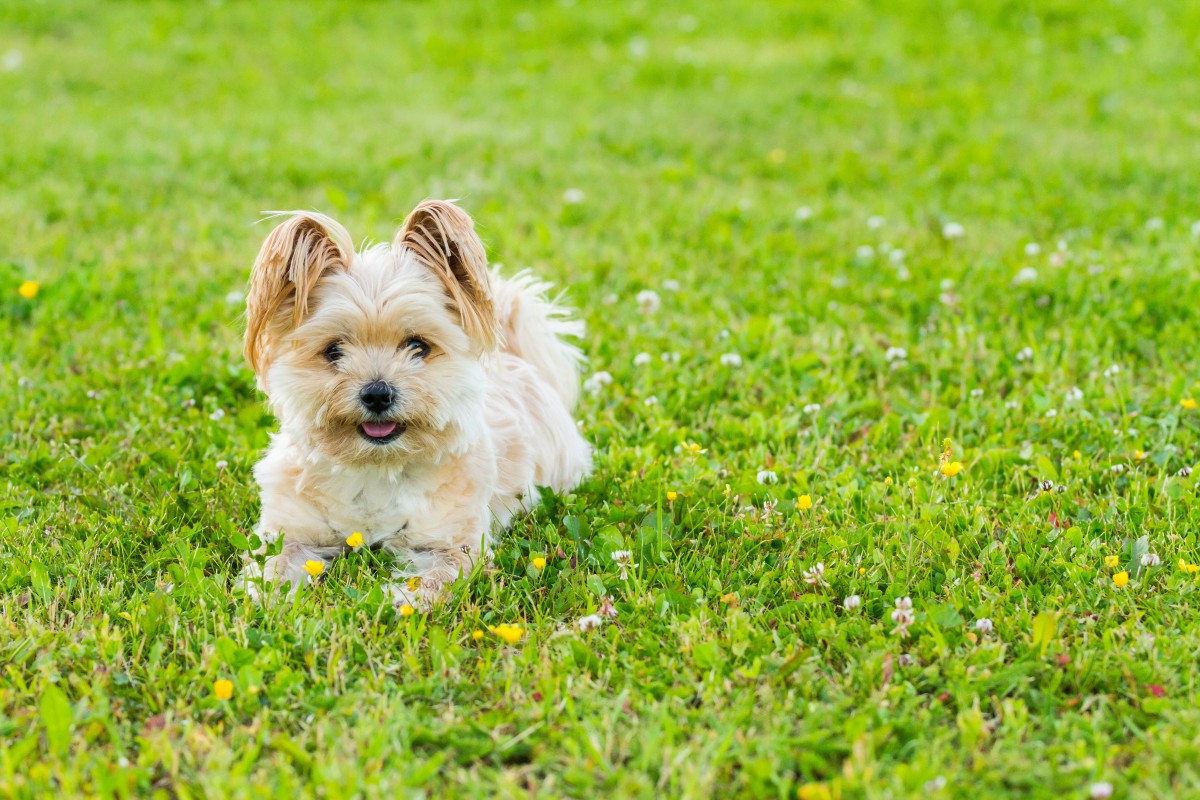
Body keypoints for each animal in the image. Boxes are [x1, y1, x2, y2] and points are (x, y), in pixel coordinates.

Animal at [237, 200, 590, 606]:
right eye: (333, 350)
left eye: (418, 346)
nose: (377, 393)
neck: (377, 468)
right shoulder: (291, 529)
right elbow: (273, 565)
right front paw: (266, 598)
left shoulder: (453, 543)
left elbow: (437, 579)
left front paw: (399, 602)